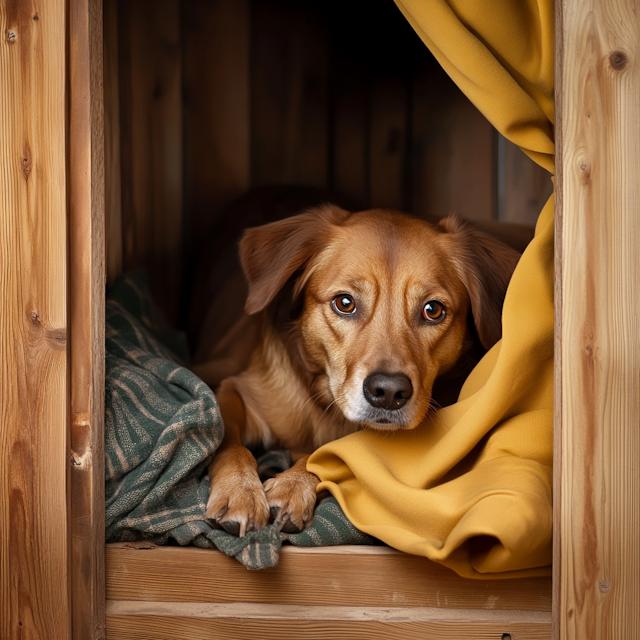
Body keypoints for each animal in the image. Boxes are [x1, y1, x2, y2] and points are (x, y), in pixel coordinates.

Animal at [192, 199, 524, 536]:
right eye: (345, 303)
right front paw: (240, 491)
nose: (388, 392)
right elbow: (227, 440)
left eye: (433, 310)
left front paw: (293, 485)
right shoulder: (235, 391)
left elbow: (326, 453)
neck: (322, 405)